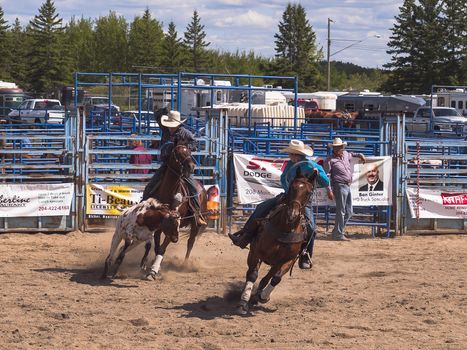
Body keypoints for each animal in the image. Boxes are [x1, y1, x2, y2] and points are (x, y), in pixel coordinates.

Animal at [144, 142, 207, 278]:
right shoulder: (159, 226)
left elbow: (162, 248)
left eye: (189, 151)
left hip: (196, 223)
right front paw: (154, 266)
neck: (168, 193)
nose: (191, 166)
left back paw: (185, 264)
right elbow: (157, 247)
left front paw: (153, 271)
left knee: (190, 242)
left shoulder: (174, 227)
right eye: (177, 153)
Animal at [238, 168, 318, 316]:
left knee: (266, 278)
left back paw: (257, 297)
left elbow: (276, 278)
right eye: (291, 187)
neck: (285, 229)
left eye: (309, 192)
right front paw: (243, 302)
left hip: (275, 263)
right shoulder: (256, 253)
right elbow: (252, 275)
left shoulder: (287, 260)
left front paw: (263, 296)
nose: (292, 215)